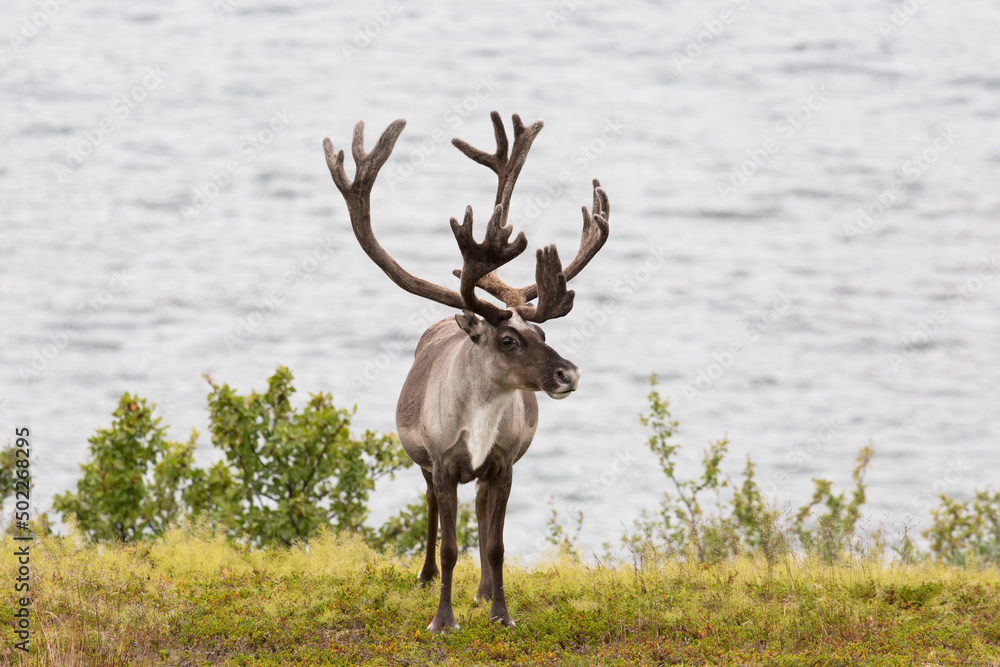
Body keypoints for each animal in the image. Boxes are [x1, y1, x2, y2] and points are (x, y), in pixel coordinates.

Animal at [323, 111, 609, 632]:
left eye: (542, 332)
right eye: (508, 340)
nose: (569, 373)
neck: (478, 422)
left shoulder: (503, 463)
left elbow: (495, 546)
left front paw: (501, 613)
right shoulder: (441, 463)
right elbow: (452, 546)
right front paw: (442, 620)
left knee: (479, 509)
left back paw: (481, 592)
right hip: (423, 462)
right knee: (432, 510)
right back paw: (425, 576)